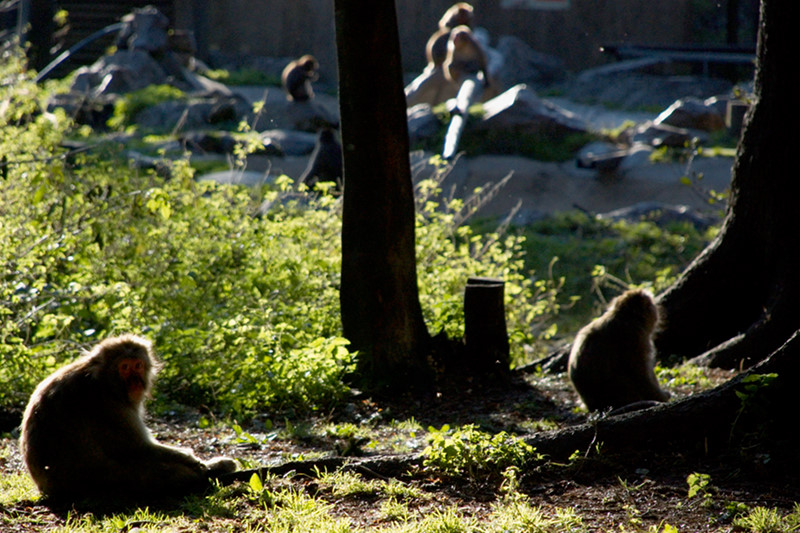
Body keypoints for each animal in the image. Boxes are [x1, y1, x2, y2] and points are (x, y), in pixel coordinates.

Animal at [19, 334, 237, 504]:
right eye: (124, 367)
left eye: (137, 365)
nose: (134, 382)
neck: (104, 381)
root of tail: (46, 489)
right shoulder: (109, 406)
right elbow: (139, 448)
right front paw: (199, 463)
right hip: (104, 482)